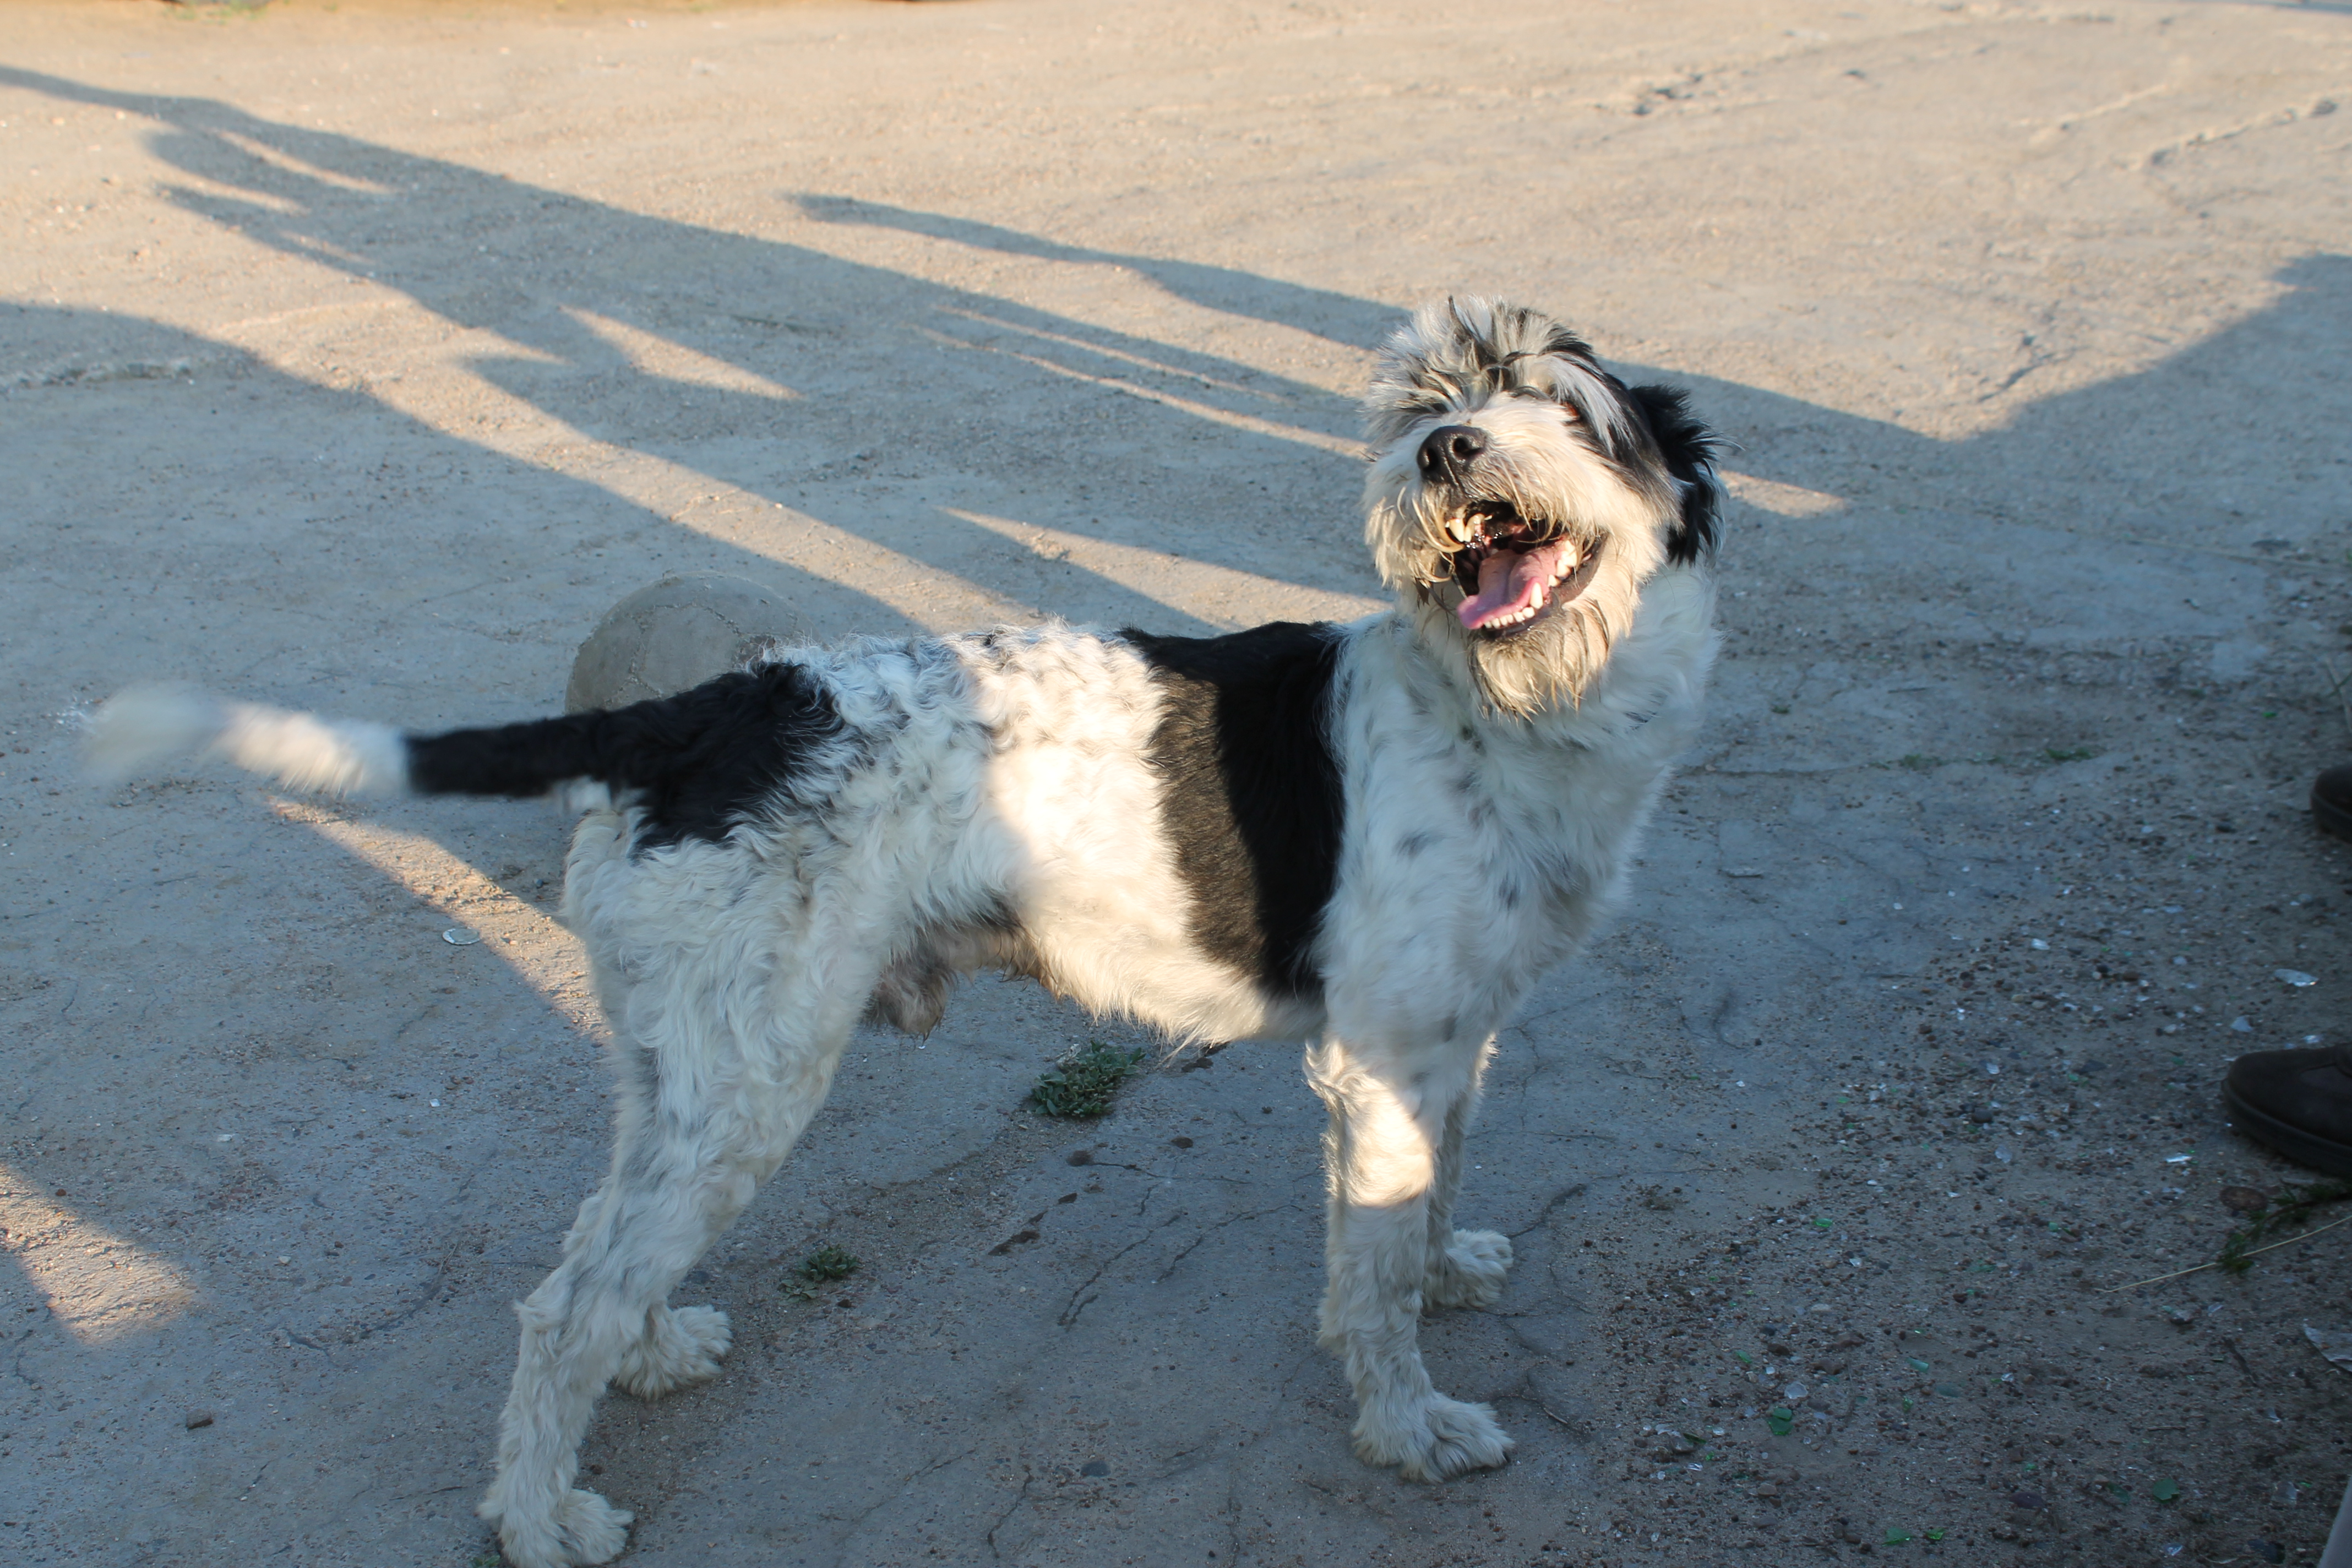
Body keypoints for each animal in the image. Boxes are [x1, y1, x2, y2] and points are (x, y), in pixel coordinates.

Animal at [85, 298, 1720, 1568]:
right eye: (1426, 408)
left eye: (1559, 408)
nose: (1445, 453)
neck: (1499, 706)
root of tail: (694, 714)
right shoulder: (1381, 1062)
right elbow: (1370, 1279)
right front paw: (1412, 1427)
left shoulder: (1451, 1043)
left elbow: (1430, 1204)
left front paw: (1451, 1274)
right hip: (754, 1083)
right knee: (561, 1309)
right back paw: (546, 1518)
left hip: (683, 1072)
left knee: (595, 1255)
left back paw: (653, 1351)